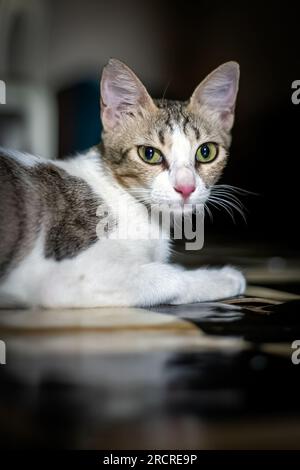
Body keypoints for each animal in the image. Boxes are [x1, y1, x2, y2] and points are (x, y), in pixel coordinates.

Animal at [0, 58, 245, 308]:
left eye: (206, 152)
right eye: (149, 154)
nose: (186, 187)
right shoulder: (65, 279)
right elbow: (166, 276)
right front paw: (222, 277)